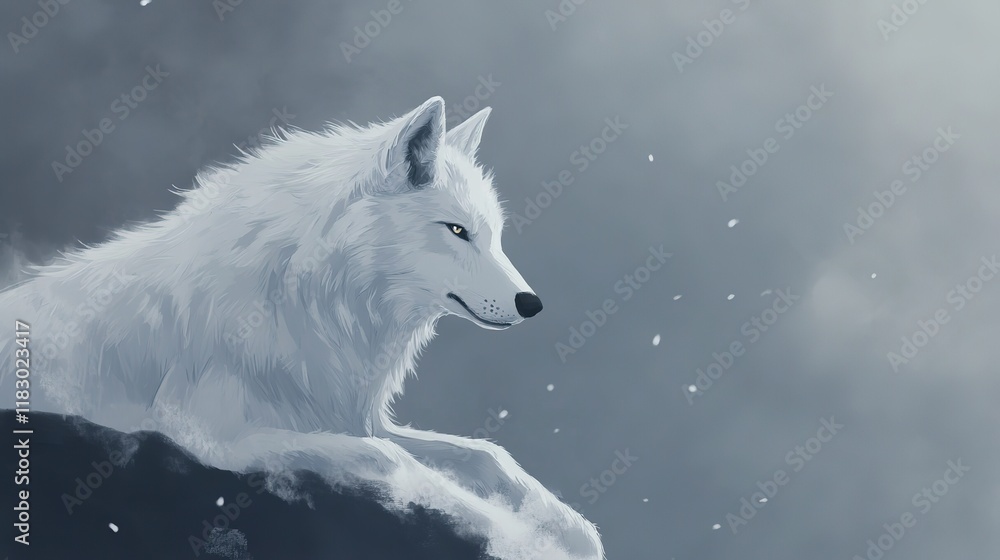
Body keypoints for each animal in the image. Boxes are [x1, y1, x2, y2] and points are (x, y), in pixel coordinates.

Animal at [0, 97, 604, 559]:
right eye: (456, 231)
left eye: (495, 235)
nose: (533, 304)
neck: (313, 299)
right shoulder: (211, 434)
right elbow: (392, 462)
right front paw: (511, 534)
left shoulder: (350, 415)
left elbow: (484, 453)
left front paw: (571, 527)